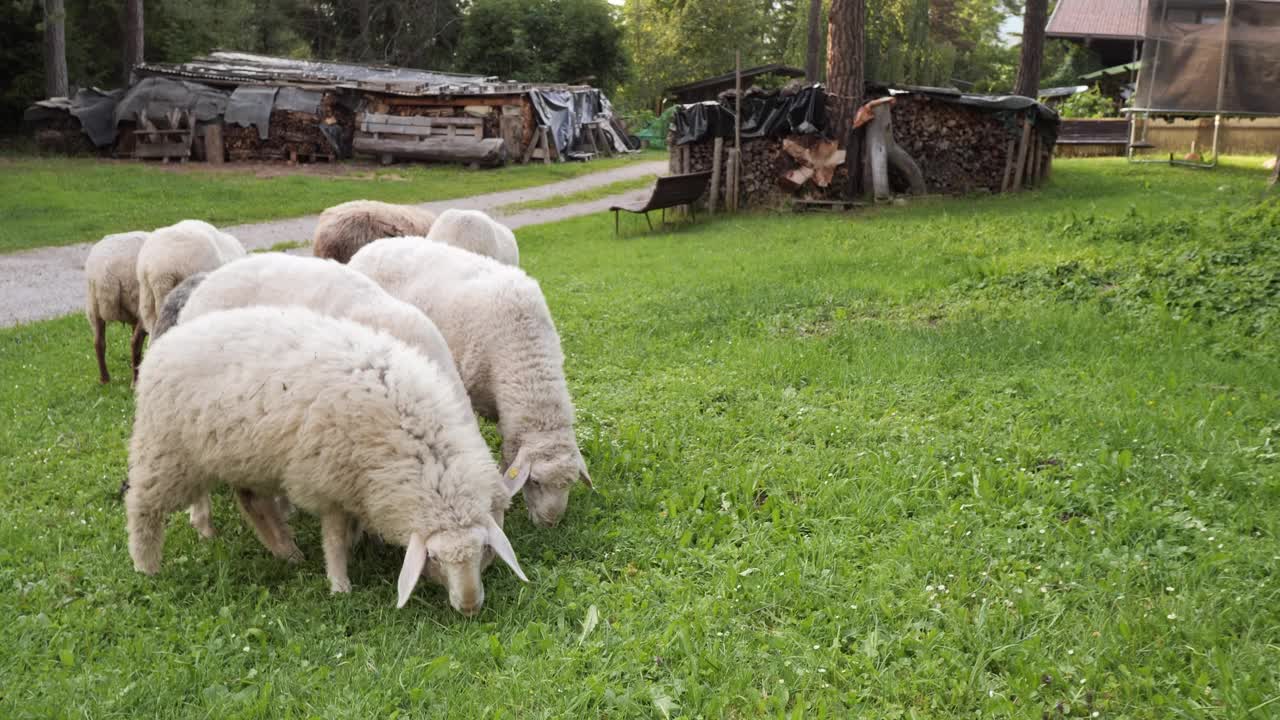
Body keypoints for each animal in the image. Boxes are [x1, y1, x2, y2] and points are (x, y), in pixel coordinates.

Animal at [83, 233, 149, 384]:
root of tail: (107, 270)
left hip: (93, 306)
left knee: (98, 342)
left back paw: (105, 379)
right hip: (143, 303)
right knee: (135, 342)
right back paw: (135, 380)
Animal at [124, 302, 529, 609]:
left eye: (483, 551)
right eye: (434, 558)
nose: (470, 607)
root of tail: (167, 341)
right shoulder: (328, 480)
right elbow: (333, 538)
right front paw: (340, 584)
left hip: (239, 456)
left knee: (252, 502)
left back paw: (286, 552)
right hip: (166, 450)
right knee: (142, 505)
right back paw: (146, 566)